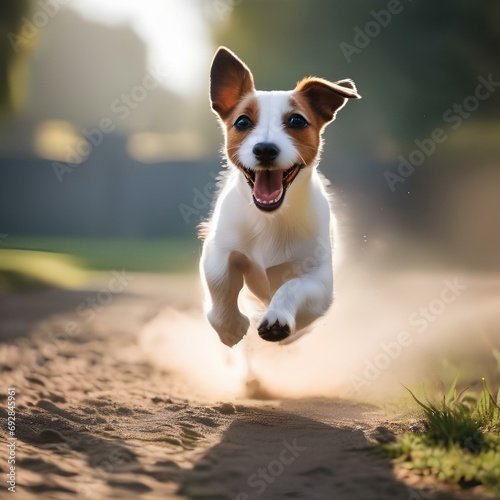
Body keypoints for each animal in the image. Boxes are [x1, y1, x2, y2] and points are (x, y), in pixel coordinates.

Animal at [199, 47, 360, 348]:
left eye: (297, 120)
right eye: (242, 121)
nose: (265, 149)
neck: (270, 219)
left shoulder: (318, 280)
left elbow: (292, 286)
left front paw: (277, 319)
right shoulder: (218, 249)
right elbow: (219, 279)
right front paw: (230, 325)